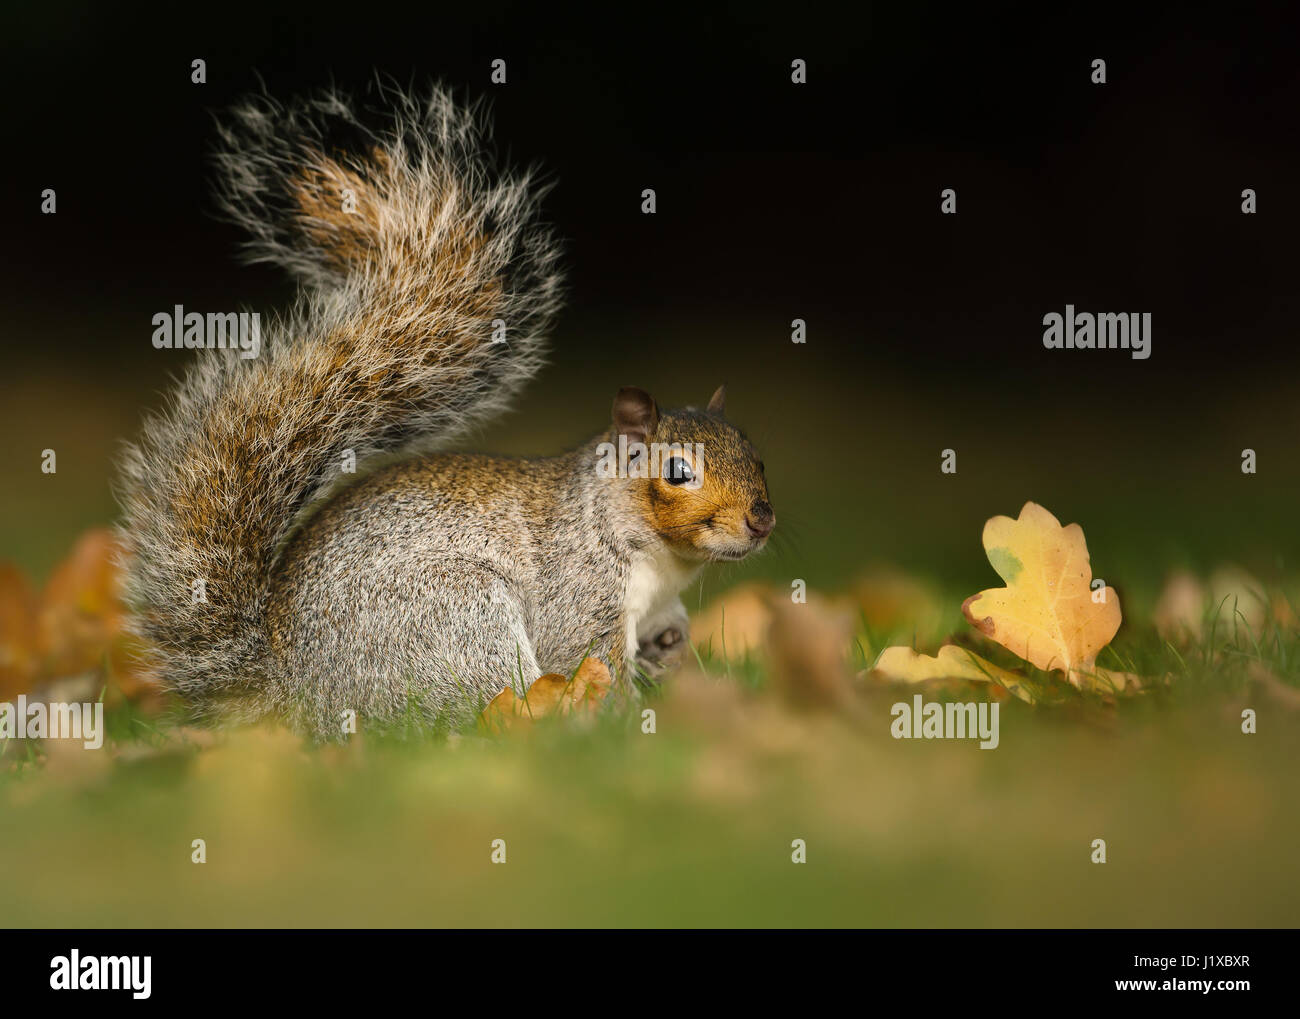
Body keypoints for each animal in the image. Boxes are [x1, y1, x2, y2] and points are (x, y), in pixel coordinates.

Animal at [117, 83, 775, 738]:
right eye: (678, 472)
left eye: (758, 458)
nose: (761, 520)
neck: (650, 552)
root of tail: (287, 692)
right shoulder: (580, 595)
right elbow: (588, 659)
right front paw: (629, 717)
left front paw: (678, 664)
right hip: (458, 618)